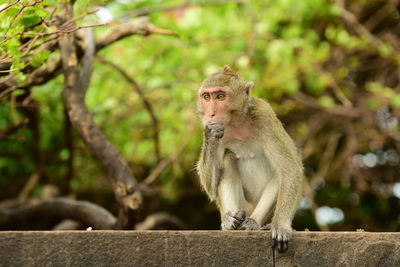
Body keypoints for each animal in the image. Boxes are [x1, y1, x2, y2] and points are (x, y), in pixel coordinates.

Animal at [195, 65, 304, 253]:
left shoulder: (264, 115)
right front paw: (210, 134)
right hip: (242, 205)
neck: (237, 123)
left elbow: (290, 168)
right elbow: (211, 189)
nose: (211, 114)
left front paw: (281, 226)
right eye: (207, 97)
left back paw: (254, 223)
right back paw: (231, 221)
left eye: (221, 96)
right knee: (228, 158)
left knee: (280, 174)